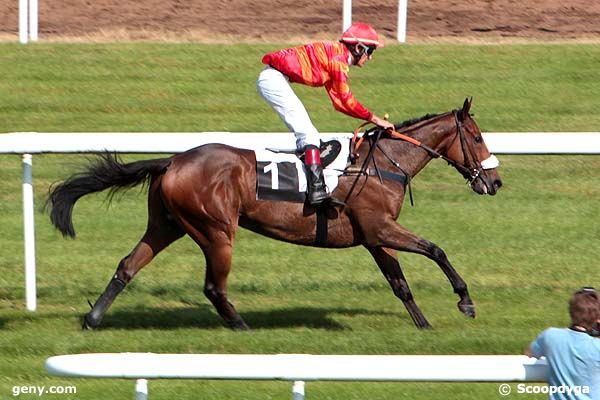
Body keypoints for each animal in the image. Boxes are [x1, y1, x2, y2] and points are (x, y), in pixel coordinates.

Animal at [48, 98, 502, 330]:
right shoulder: (383, 227)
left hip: (167, 225)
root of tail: (172, 161)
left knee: (128, 265)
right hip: (216, 230)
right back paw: (241, 327)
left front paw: (424, 325)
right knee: (213, 287)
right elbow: (436, 250)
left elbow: (400, 283)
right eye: (477, 137)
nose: (495, 182)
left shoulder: (374, 235)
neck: (382, 163)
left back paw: (92, 319)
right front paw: (465, 301)